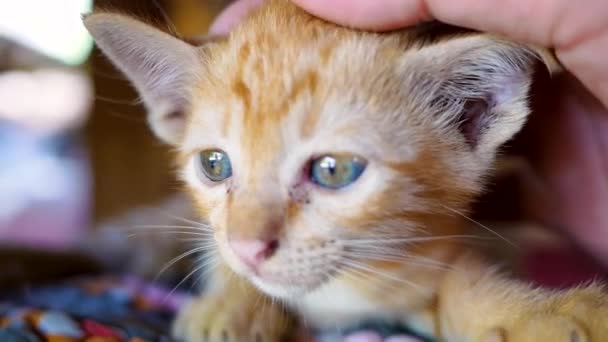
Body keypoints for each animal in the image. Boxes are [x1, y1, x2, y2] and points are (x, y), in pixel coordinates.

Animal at [84, 1, 608, 340]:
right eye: (214, 164)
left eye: (333, 171)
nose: (249, 249)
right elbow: (218, 248)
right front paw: (229, 304)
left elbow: (461, 280)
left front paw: (544, 315)